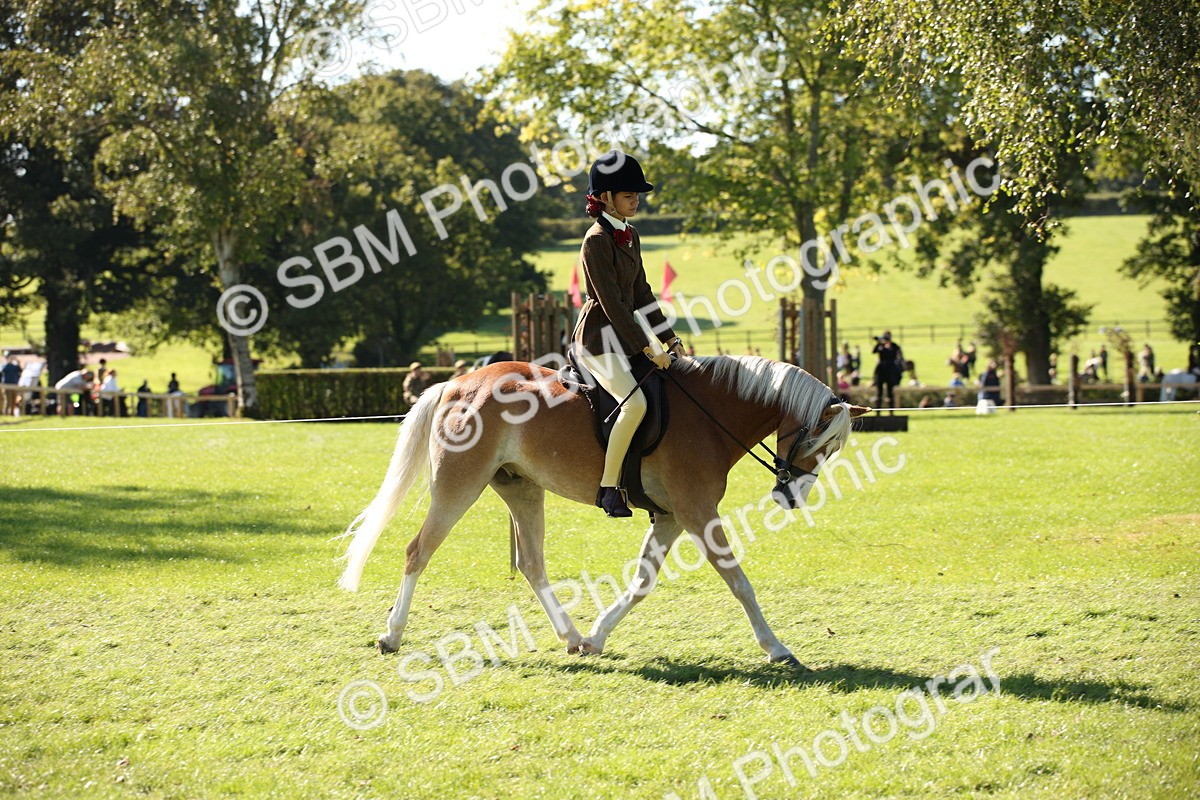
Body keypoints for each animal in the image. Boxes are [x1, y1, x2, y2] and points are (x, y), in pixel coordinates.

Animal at [338, 355, 869, 667]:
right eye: (816, 441)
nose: (793, 497)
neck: (710, 415)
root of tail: (456, 384)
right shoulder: (697, 511)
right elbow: (739, 581)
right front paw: (778, 648)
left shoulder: (673, 516)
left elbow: (642, 583)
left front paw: (597, 638)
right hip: (458, 486)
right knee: (418, 551)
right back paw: (391, 636)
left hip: (521, 489)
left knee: (532, 564)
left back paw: (572, 636)